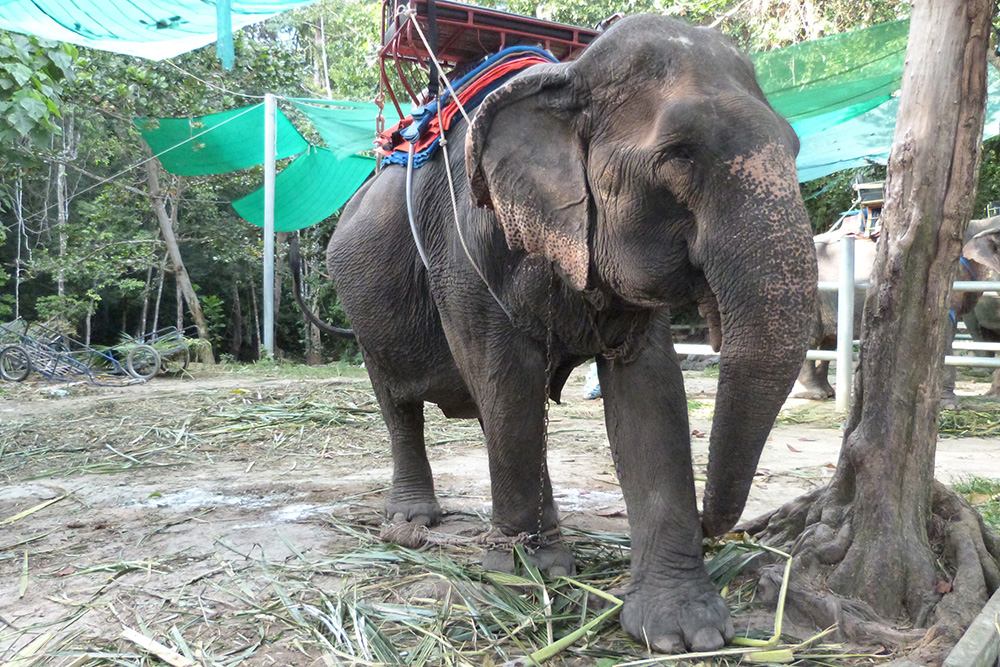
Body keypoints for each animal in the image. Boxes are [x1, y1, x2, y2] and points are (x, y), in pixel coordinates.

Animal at [306, 14, 820, 652]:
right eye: (679, 155)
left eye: (795, 147)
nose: (715, 525)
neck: (568, 78)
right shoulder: (467, 246)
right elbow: (504, 376)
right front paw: (522, 572)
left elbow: (649, 391)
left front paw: (685, 632)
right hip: (362, 309)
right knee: (404, 405)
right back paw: (414, 524)